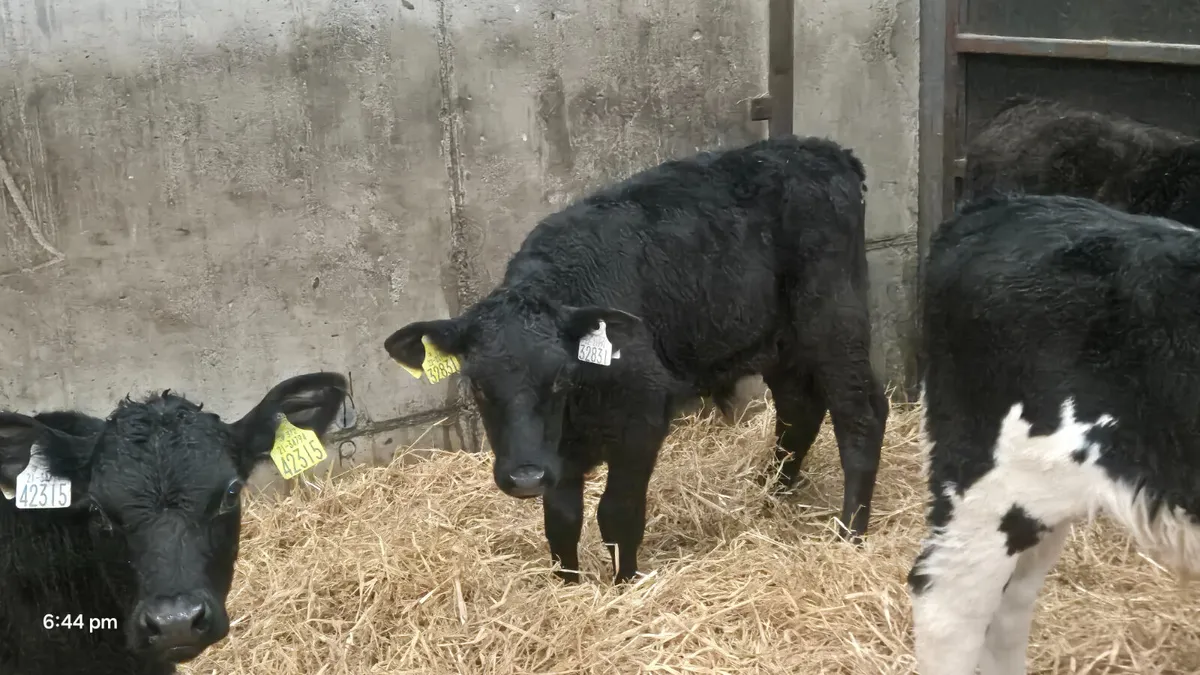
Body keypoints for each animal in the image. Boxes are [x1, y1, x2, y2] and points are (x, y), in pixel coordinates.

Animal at [384, 135, 889, 584]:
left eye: (560, 379)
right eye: (478, 385)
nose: (526, 476)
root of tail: (822, 150)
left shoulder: (642, 421)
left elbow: (617, 514)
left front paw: (624, 585)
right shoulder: (559, 452)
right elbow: (561, 520)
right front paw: (568, 587)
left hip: (834, 319)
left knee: (860, 414)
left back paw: (849, 534)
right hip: (779, 341)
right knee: (798, 409)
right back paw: (771, 494)